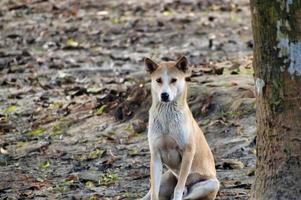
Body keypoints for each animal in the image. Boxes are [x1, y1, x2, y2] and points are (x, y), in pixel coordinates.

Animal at [143, 56, 218, 200]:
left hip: (212, 184)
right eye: (158, 80)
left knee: (183, 194)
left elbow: (178, 187)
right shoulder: (155, 155)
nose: (164, 95)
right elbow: (155, 191)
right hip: (166, 177)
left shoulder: (187, 152)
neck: (167, 116)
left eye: (174, 80)